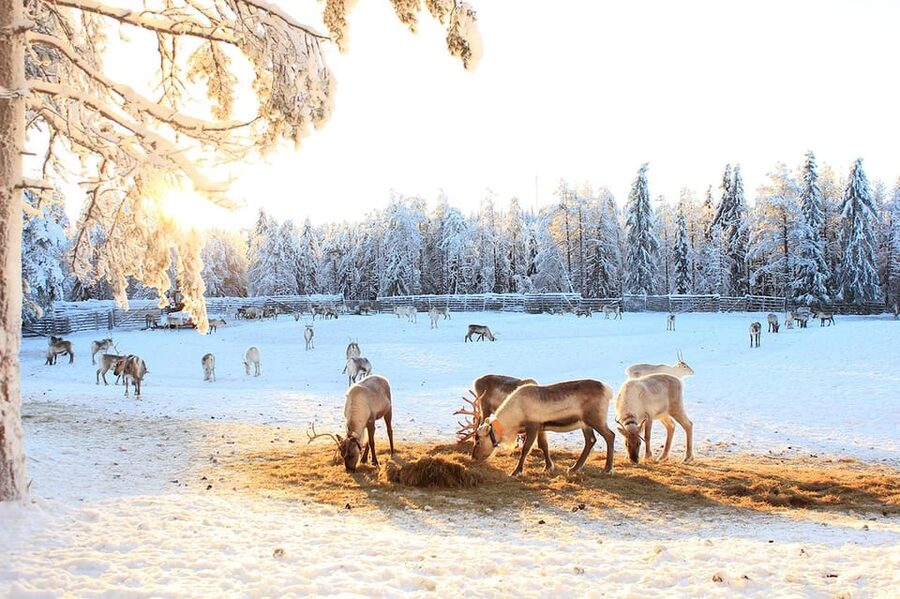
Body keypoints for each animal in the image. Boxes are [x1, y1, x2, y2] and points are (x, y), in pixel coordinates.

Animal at [471, 379, 616, 476]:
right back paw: (574, 468)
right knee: (590, 440)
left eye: (478, 441)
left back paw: (607, 469)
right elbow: (544, 446)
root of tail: (608, 390)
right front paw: (548, 467)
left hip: (595, 419)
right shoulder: (541, 427)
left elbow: (526, 449)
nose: (473, 458)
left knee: (610, 435)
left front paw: (516, 471)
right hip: (585, 424)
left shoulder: (533, 426)